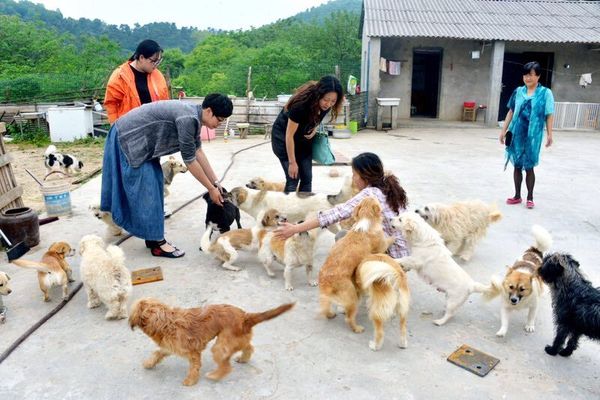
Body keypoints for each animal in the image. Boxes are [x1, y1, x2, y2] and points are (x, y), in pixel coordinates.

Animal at [130, 298, 294, 386]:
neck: (166, 322)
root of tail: (244, 317)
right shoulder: (168, 348)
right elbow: (157, 353)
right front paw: (149, 363)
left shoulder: (193, 352)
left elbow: (194, 367)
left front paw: (190, 380)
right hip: (235, 339)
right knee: (248, 346)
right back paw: (244, 358)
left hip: (220, 346)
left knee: (226, 367)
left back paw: (215, 375)